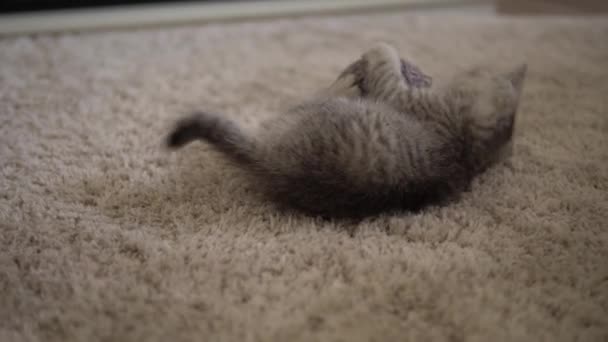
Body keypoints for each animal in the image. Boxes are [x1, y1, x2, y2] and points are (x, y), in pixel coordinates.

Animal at [167, 42, 528, 218]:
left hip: (311, 110)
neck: (463, 144)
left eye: (474, 71)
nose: (469, 67)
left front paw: (379, 51)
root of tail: (273, 162)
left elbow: (384, 56)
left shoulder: (401, 95)